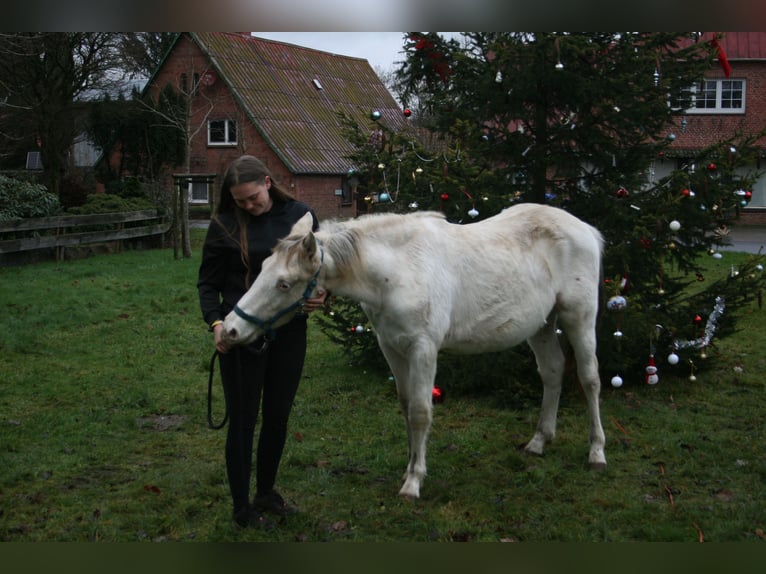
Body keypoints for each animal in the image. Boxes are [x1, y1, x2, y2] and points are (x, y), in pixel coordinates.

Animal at [220, 202, 608, 500]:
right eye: (262, 269)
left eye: (284, 284)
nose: (230, 330)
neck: (398, 270)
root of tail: (587, 229)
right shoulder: (391, 347)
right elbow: (406, 408)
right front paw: (409, 466)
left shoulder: (424, 349)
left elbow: (421, 412)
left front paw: (413, 483)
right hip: (542, 325)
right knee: (553, 372)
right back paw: (539, 441)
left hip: (579, 317)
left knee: (589, 379)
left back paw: (596, 452)